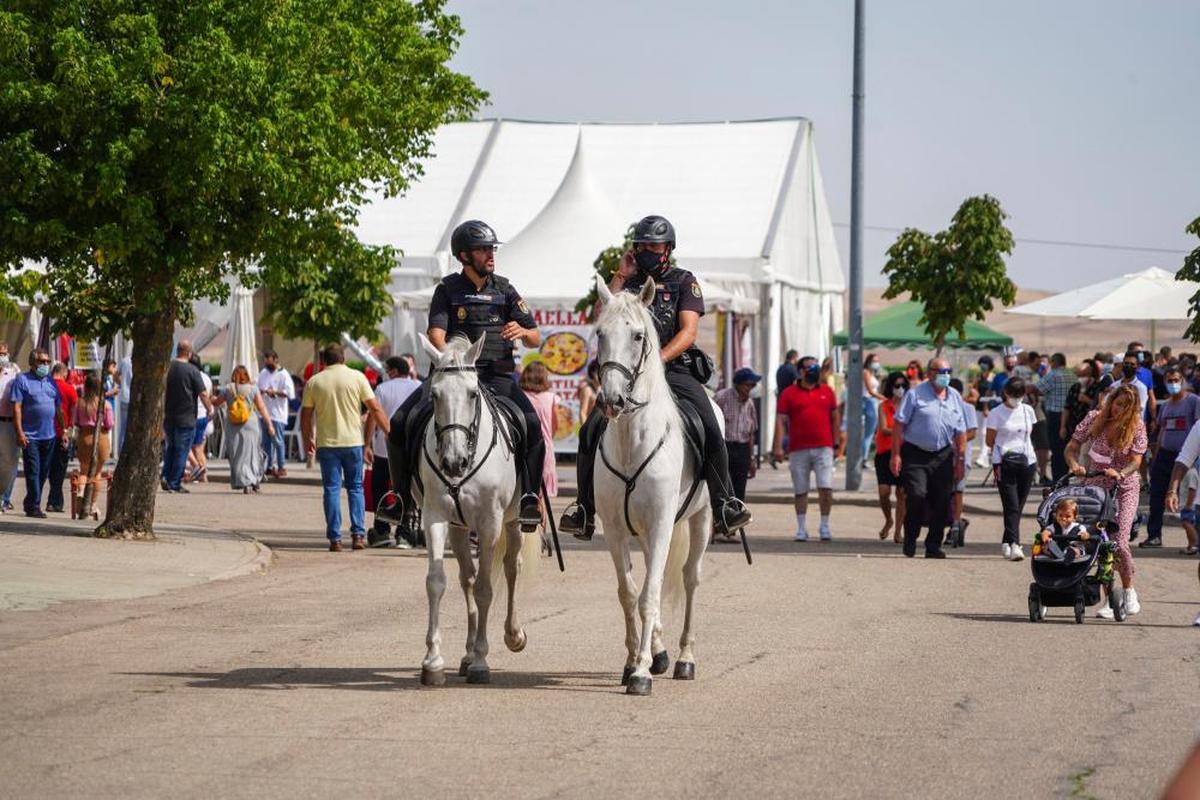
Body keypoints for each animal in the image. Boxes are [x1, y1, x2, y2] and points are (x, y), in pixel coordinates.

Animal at [417, 335, 540, 686]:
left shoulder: (489, 524)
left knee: (512, 568)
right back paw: (467, 653)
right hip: (459, 529)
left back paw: (513, 635)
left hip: (512, 522)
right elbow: (437, 582)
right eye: (434, 394)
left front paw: (481, 662)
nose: (453, 462)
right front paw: (433, 662)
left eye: (473, 393)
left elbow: (486, 589)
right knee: (467, 579)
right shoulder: (435, 517)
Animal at [590, 280, 710, 695]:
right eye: (599, 333)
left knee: (690, 579)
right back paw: (660, 652)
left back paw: (686, 658)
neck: (632, 442)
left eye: (638, 335)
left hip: (701, 519)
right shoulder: (614, 529)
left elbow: (650, 595)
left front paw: (640, 673)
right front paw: (632, 663)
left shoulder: (660, 524)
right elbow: (630, 594)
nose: (612, 400)